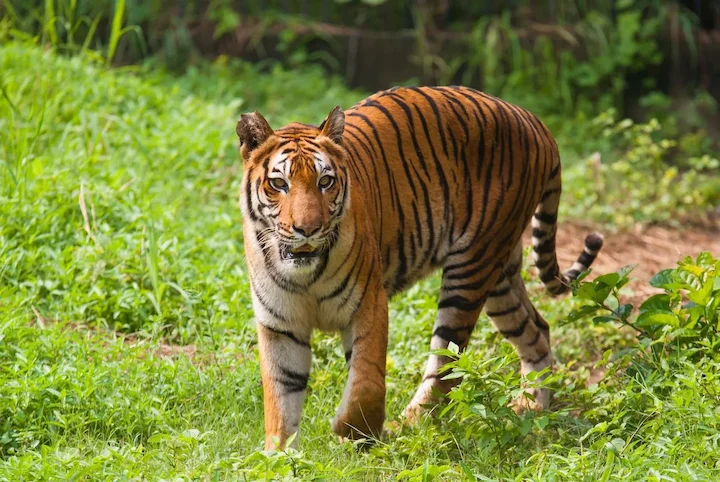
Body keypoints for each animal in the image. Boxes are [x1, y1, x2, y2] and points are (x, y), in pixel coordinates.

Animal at [235, 85, 603, 450]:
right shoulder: (280, 325)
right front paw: (279, 455)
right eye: (279, 184)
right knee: (537, 329)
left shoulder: (369, 304)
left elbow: (366, 381)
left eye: (325, 182)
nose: (308, 229)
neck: (304, 276)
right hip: (501, 275)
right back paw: (532, 406)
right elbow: (281, 398)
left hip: (471, 269)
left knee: (445, 365)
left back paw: (407, 425)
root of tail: (533, 120)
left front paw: (353, 430)